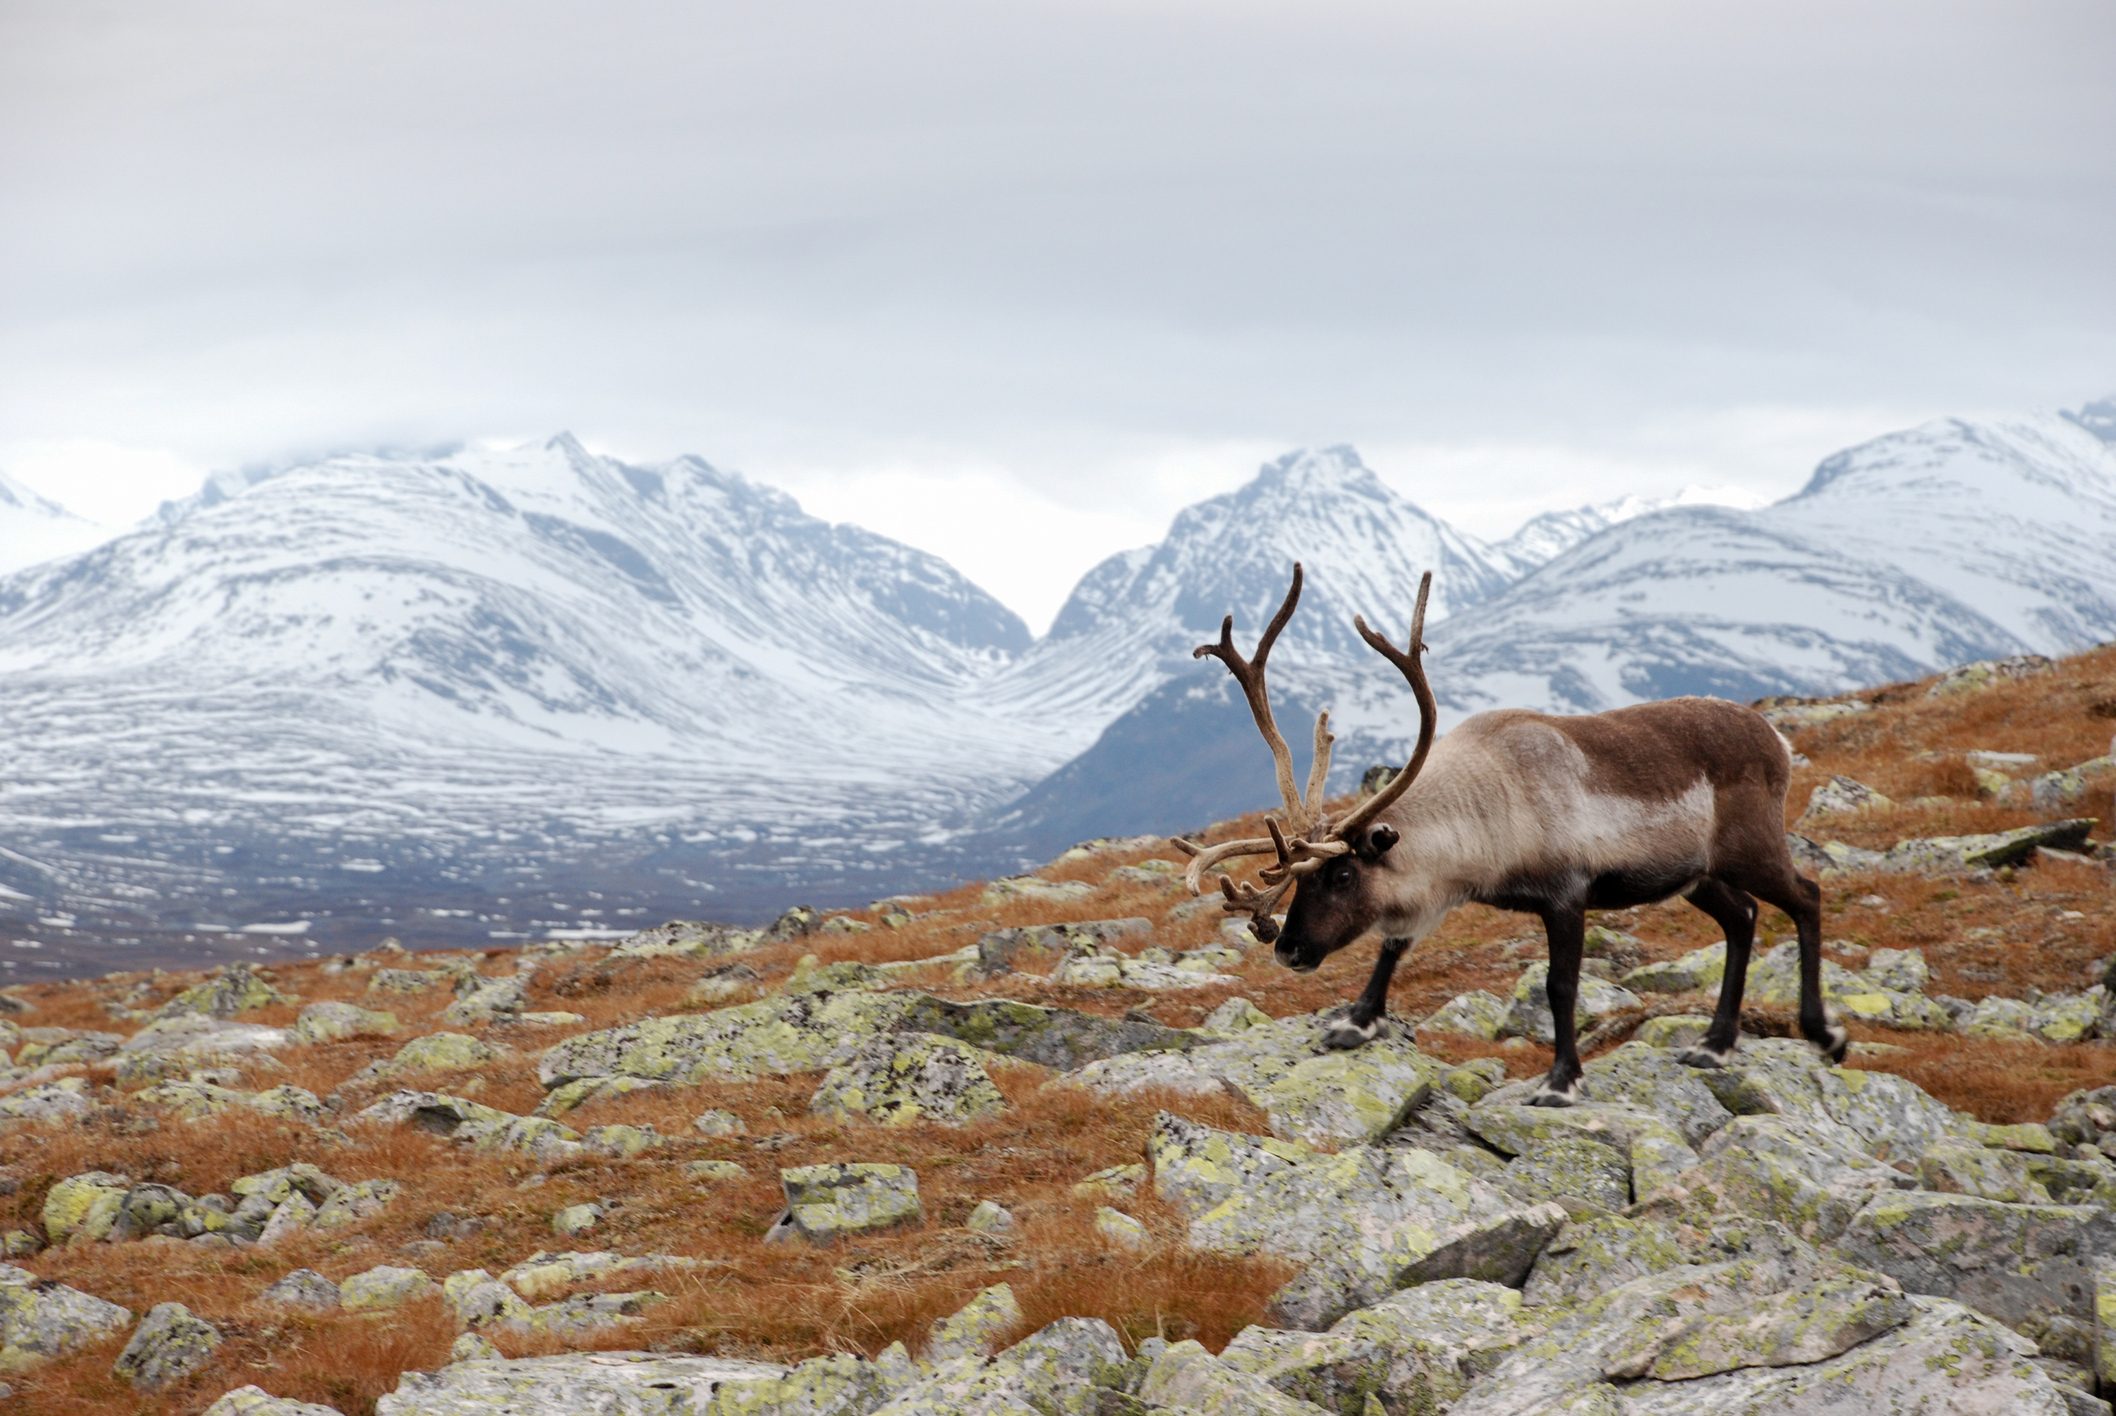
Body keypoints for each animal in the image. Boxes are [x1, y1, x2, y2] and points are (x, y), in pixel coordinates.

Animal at [1174, 562, 1842, 1108]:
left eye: (1341, 873)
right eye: (1296, 881)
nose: (1287, 950)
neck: (1490, 807)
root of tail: (1773, 737)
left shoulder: (1567, 895)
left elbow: (1560, 985)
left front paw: (1562, 1081)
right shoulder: (1437, 894)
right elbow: (1394, 944)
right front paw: (1356, 1022)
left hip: (1751, 847)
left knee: (1806, 895)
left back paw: (1823, 1034)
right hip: (1695, 875)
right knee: (1744, 917)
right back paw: (1715, 1043)